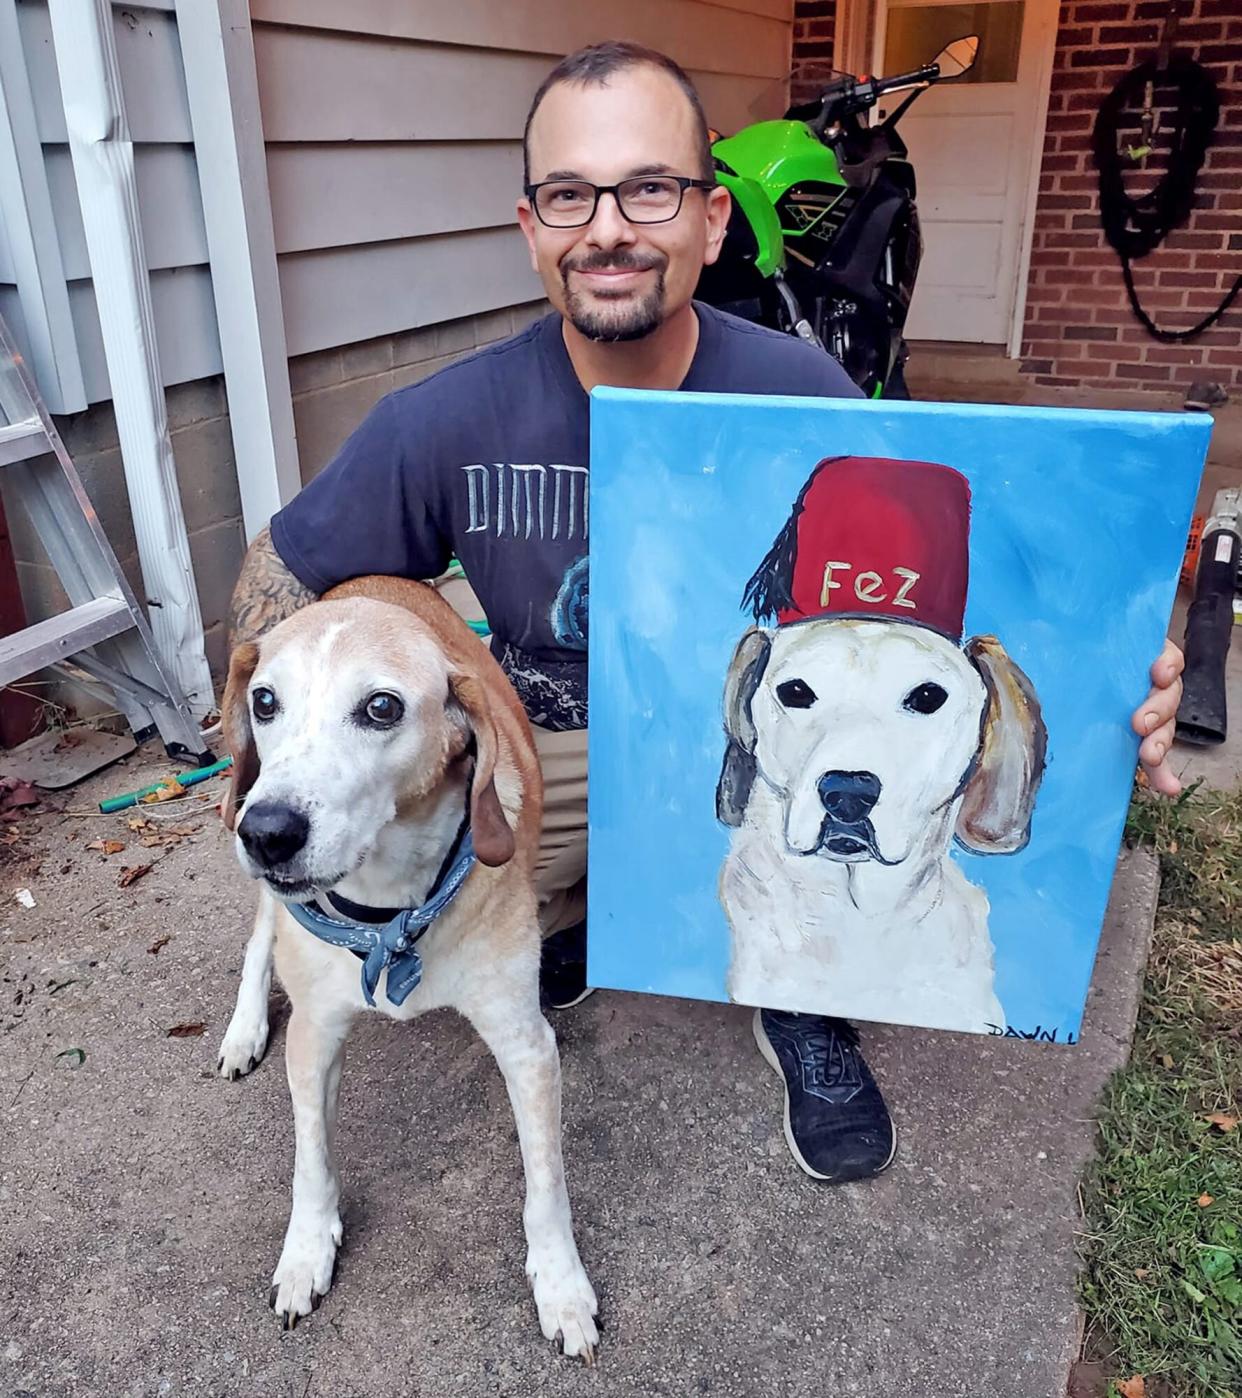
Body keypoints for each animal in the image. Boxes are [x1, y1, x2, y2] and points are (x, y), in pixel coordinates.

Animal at [215, 573, 598, 1358]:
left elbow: (546, 1185)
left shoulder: (526, 1045)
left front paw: (561, 1285)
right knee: (259, 940)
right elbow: (312, 1161)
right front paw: (306, 1253)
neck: (388, 912)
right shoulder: (314, 1036)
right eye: (264, 701)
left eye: (381, 707)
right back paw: (243, 1031)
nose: (266, 833)